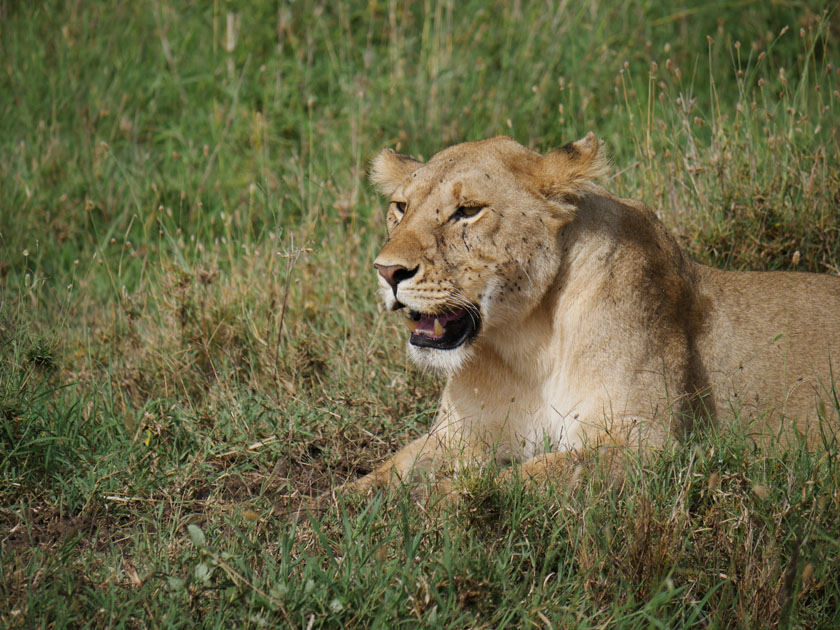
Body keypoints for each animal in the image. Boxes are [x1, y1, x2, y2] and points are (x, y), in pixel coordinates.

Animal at [342, 135, 840, 498]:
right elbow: (390, 470)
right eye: (401, 208)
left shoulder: (653, 444)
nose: (387, 271)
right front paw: (349, 507)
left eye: (468, 211)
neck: (527, 342)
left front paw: (435, 503)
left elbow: (524, 478)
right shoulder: (459, 435)